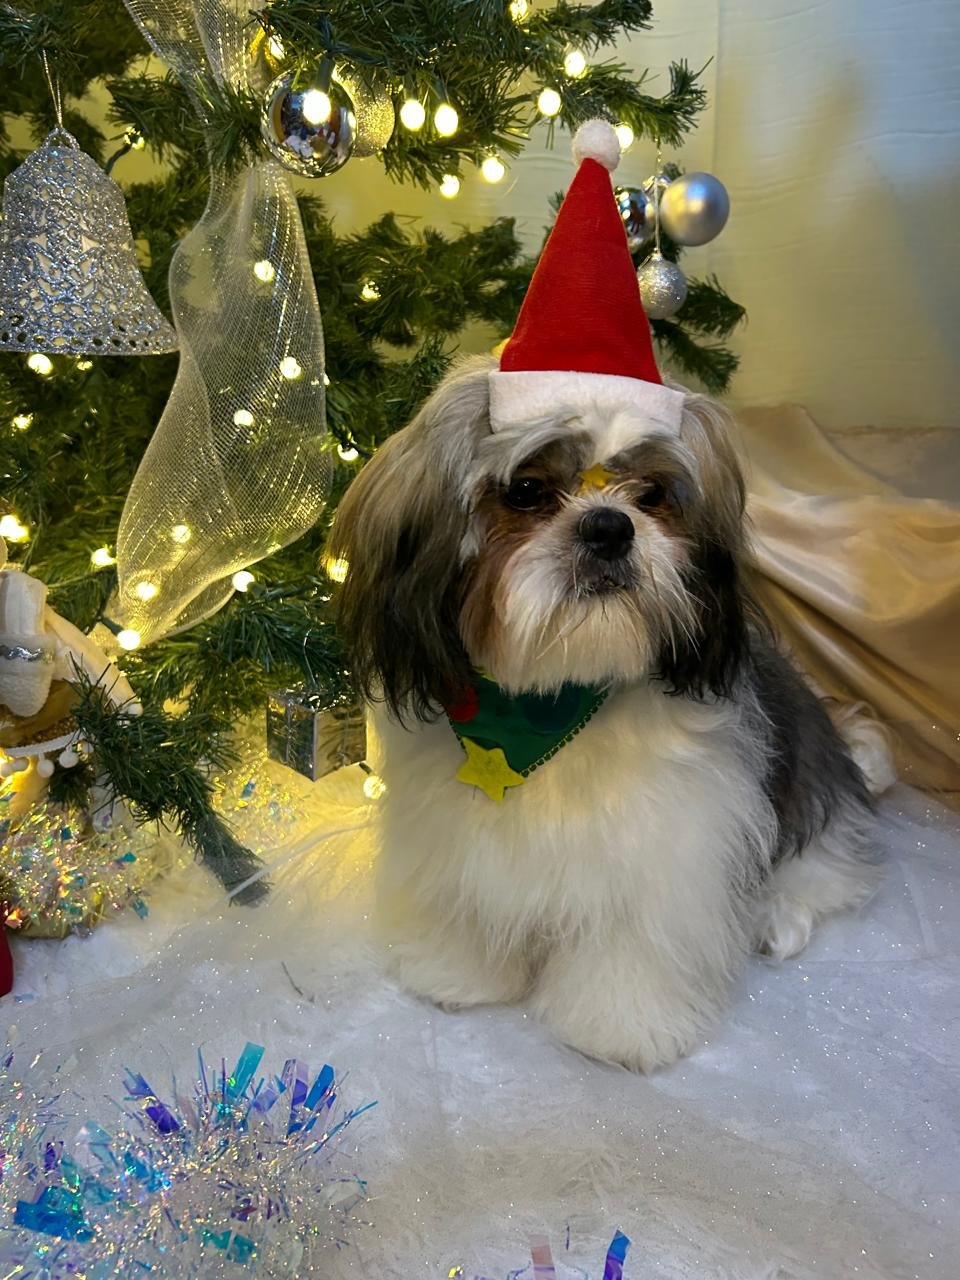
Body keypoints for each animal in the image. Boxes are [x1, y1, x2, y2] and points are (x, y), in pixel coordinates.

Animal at [329, 355, 884, 1071]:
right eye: (527, 489)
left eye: (651, 494)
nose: (609, 527)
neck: (552, 704)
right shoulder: (458, 836)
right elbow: (470, 899)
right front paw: (458, 973)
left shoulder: (666, 848)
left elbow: (635, 945)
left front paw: (624, 1027)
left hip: (809, 789)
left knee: (826, 869)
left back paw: (774, 915)